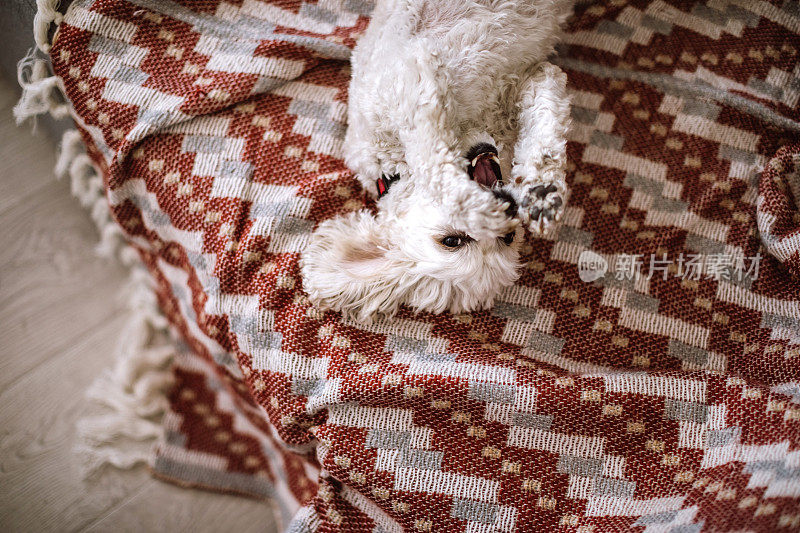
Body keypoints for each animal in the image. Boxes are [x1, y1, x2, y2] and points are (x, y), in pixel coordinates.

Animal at [304, 0, 572, 322]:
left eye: (508, 238)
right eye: (452, 241)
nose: (508, 206)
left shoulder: (415, 75)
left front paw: (543, 191)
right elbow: (431, 156)